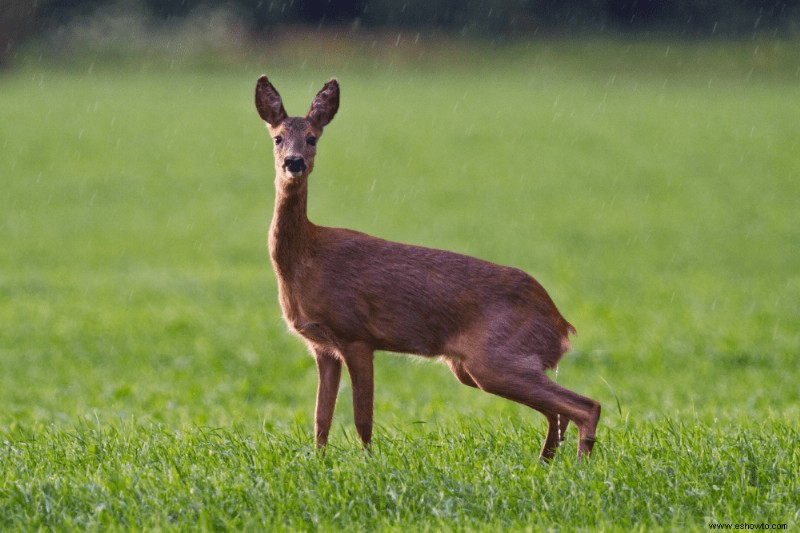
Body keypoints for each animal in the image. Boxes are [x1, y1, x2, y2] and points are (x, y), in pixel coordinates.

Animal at [255, 74, 600, 458]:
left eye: (313, 137)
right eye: (277, 137)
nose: (294, 162)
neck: (306, 257)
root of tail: (561, 325)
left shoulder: (356, 334)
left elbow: (362, 418)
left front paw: (368, 462)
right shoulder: (322, 346)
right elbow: (321, 419)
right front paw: (320, 460)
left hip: (495, 358)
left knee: (586, 406)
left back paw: (579, 465)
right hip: (483, 366)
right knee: (559, 412)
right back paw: (546, 463)